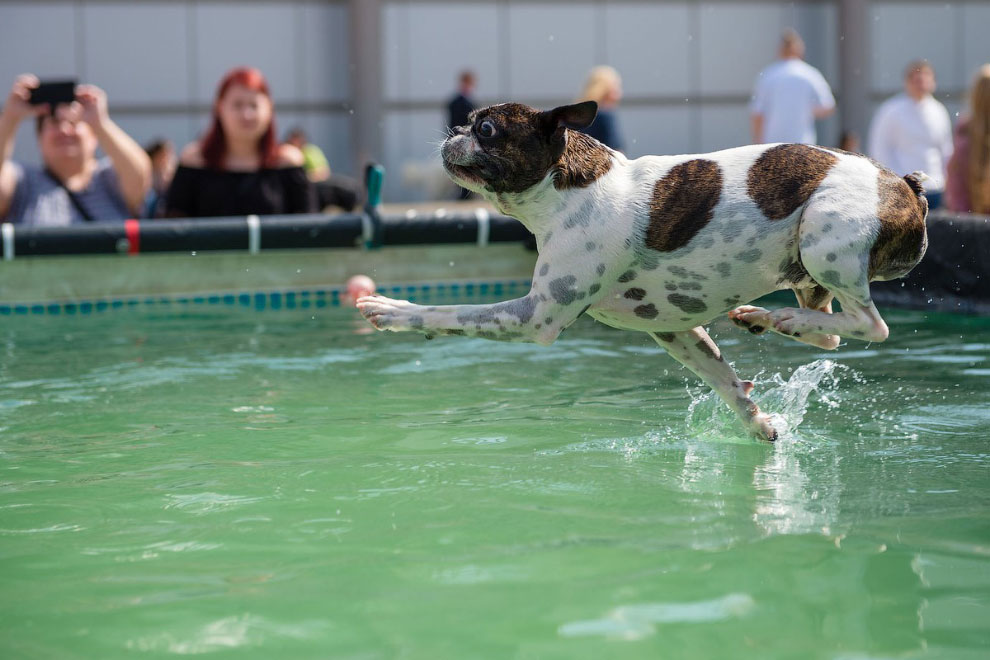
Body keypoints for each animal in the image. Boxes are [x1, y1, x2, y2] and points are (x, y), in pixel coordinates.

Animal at [360, 102, 932, 444]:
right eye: (469, 122)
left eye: (486, 129)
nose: (453, 131)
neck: (567, 190)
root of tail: (905, 185)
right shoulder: (673, 329)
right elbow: (725, 382)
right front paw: (759, 421)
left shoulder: (533, 317)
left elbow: (448, 312)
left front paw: (389, 308)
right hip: (809, 273)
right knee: (832, 333)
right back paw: (768, 320)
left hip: (825, 240)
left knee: (871, 324)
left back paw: (783, 321)